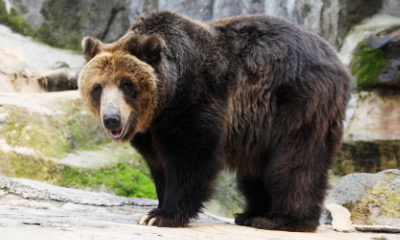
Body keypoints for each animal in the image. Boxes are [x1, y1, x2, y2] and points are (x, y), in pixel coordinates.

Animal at [77, 10, 350, 232]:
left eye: (126, 84)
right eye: (97, 87)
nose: (112, 119)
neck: (166, 99)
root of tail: (337, 61)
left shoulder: (198, 100)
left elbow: (193, 156)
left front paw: (163, 215)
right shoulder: (152, 130)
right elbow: (159, 164)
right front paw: (157, 208)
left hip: (297, 102)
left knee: (295, 160)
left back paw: (281, 219)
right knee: (255, 170)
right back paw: (250, 214)